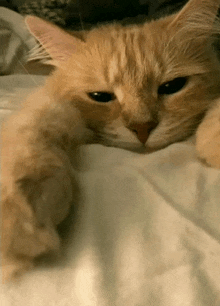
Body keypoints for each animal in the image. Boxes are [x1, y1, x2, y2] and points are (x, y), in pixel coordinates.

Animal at [1, 0, 220, 284]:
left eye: (172, 86)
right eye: (100, 96)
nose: (142, 128)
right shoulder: (51, 103)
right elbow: (32, 128)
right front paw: (19, 216)